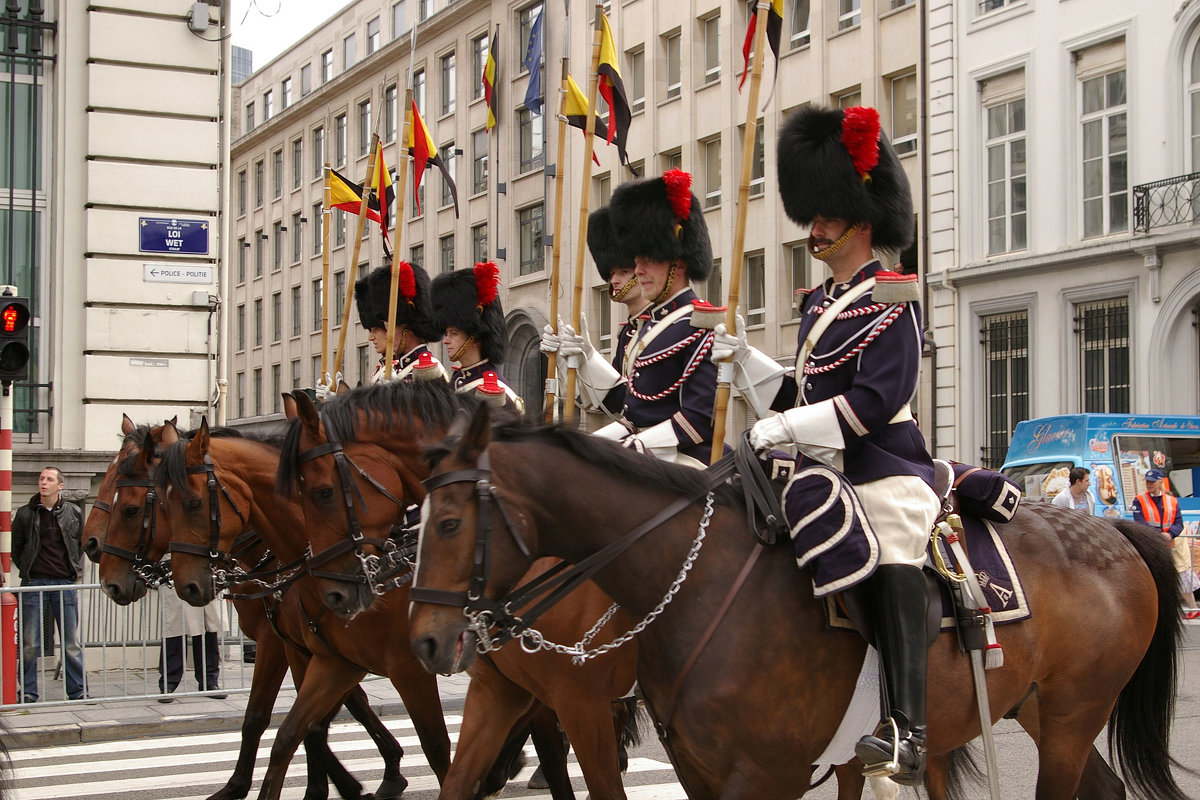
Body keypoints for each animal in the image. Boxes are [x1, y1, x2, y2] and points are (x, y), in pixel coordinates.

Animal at [92, 419, 408, 800]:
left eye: (132, 508)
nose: (108, 578)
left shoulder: (281, 645)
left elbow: (286, 717)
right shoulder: (303, 646)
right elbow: (314, 714)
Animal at [412, 407, 1190, 800]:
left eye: (447, 522)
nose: (426, 642)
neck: (697, 579)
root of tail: (1115, 530)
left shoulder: (759, 773)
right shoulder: (691, 767)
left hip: (1071, 714)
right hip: (1035, 709)